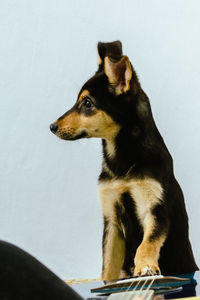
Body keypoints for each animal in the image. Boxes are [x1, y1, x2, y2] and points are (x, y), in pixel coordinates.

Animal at [49, 40, 197, 282]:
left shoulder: (155, 209)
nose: (52, 126)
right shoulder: (111, 221)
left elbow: (147, 244)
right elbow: (108, 264)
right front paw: (107, 282)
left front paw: (145, 266)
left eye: (87, 103)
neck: (121, 165)